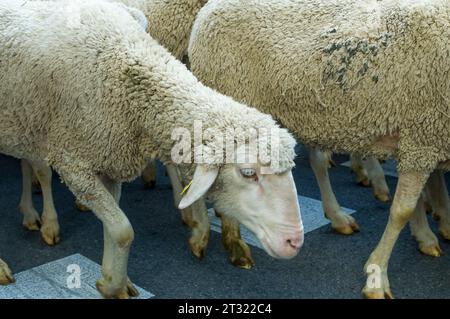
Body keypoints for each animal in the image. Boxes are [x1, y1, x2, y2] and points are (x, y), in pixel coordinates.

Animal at [0, 0, 304, 298]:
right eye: (248, 172)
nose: (294, 241)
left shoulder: (109, 158)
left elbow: (113, 229)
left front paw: (114, 278)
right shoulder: (73, 164)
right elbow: (124, 230)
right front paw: (111, 285)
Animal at [187, 0, 450, 300]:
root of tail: (207, 11)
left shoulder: (419, 137)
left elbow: (415, 200)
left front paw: (425, 236)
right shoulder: (423, 136)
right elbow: (401, 211)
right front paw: (377, 275)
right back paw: (211, 236)